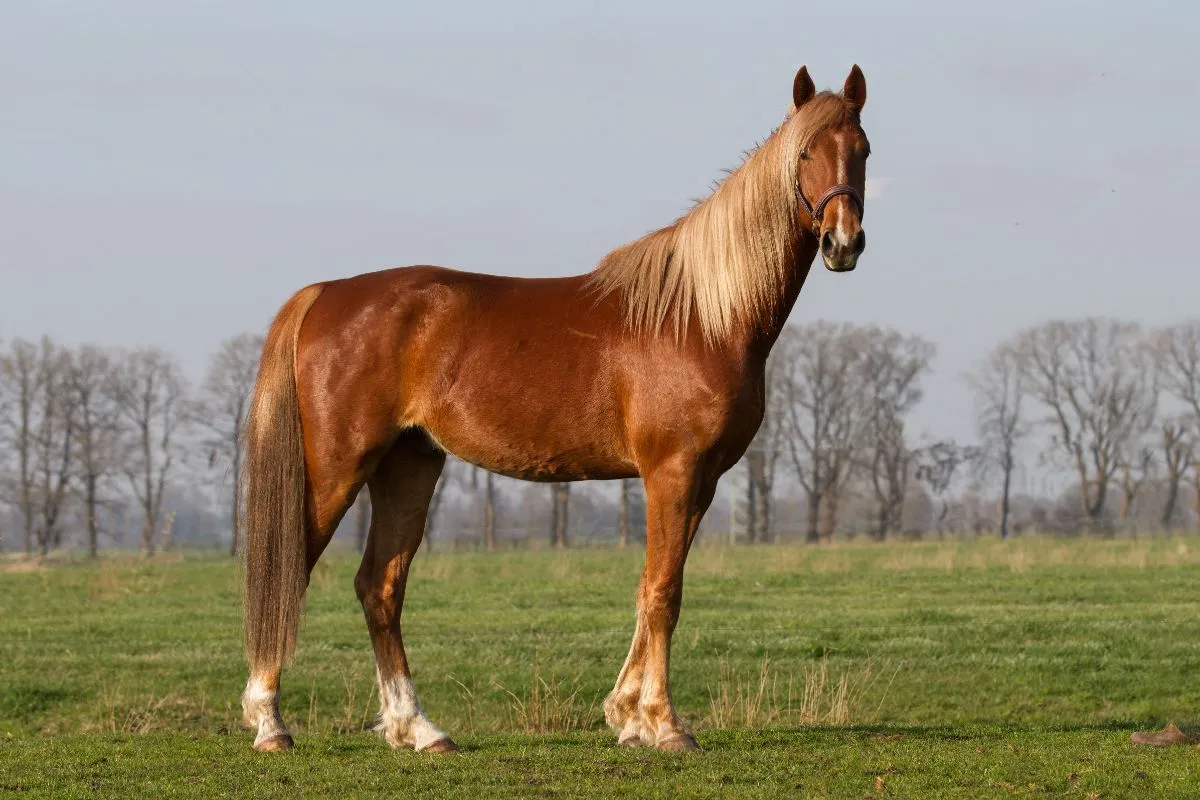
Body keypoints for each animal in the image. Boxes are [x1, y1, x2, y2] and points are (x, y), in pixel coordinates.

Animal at [239, 64, 871, 754]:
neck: (699, 316)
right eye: (805, 153)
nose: (843, 242)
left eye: (863, 150)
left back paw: (419, 729)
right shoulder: (671, 472)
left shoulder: (699, 482)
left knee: (379, 586)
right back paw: (270, 723)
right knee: (291, 571)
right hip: (337, 467)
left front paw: (626, 715)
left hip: (408, 465)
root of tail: (325, 293)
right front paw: (664, 723)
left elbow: (650, 588)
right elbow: (664, 593)